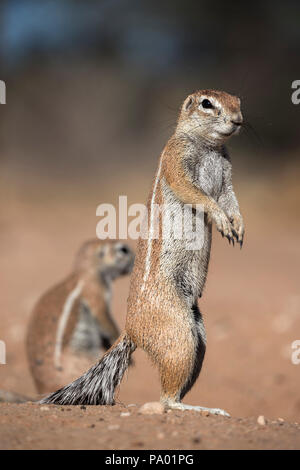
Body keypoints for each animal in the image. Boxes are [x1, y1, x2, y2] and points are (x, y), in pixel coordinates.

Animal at [41, 89, 244, 414]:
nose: (238, 120)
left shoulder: (226, 175)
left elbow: (230, 199)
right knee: (165, 399)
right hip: (177, 333)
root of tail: (131, 330)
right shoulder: (177, 161)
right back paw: (196, 408)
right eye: (207, 104)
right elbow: (197, 194)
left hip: (197, 336)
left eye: (238, 101)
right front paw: (222, 220)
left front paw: (238, 225)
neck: (208, 147)